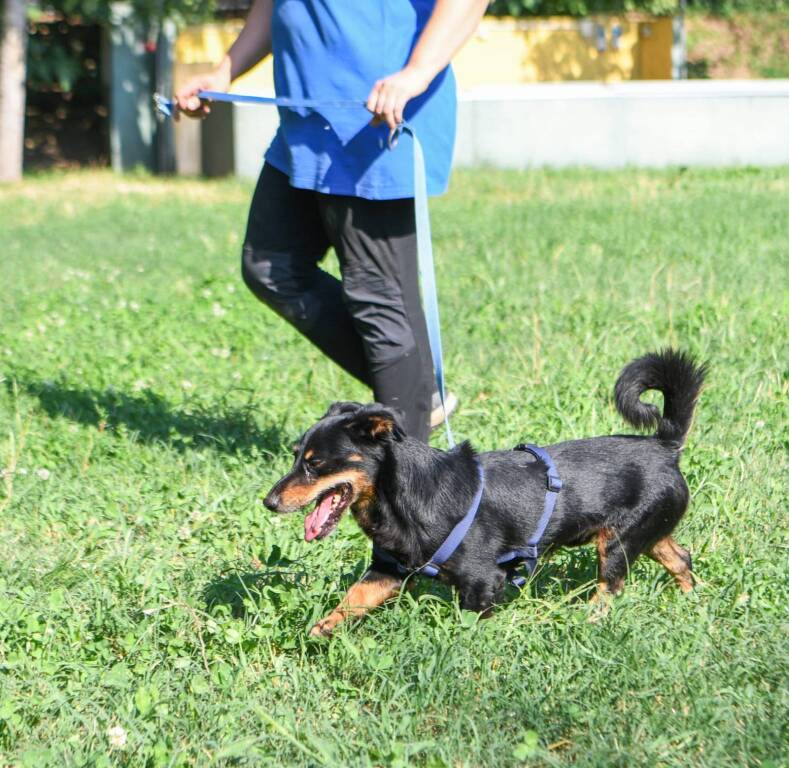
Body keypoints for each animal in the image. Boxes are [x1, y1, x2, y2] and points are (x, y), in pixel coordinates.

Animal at [262, 350, 704, 636]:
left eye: (315, 464)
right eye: (295, 455)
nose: (269, 502)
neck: (402, 497)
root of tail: (665, 446)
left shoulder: (483, 581)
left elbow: (469, 627)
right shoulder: (387, 571)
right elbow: (351, 599)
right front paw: (319, 629)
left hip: (615, 544)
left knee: (609, 589)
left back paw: (589, 622)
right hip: (643, 534)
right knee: (681, 558)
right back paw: (690, 603)